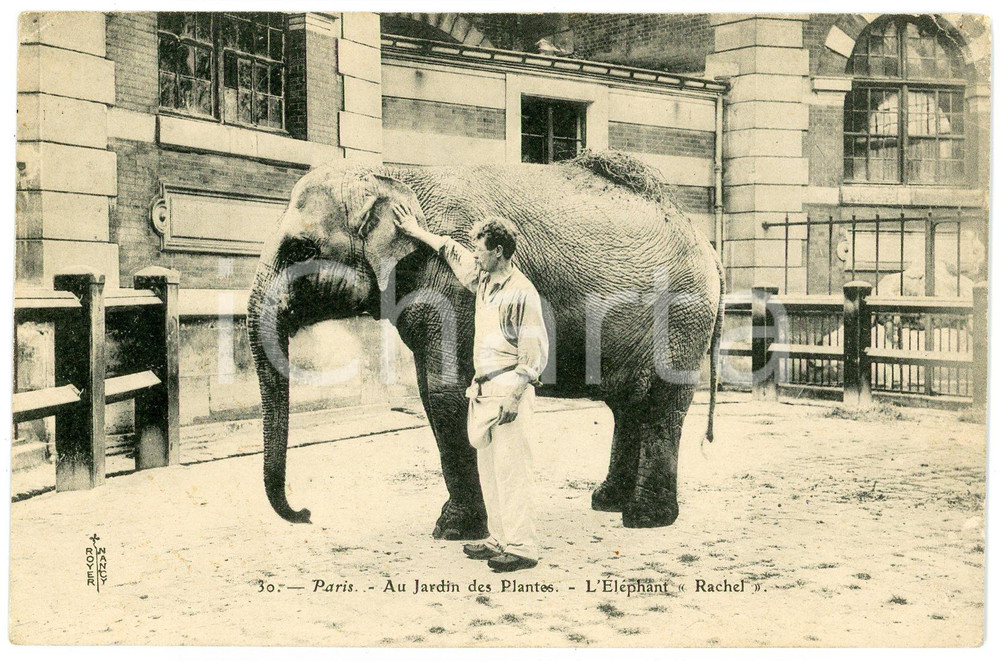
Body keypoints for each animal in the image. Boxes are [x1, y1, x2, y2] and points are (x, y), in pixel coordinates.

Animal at [246, 150, 725, 536]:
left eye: (300, 250)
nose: (307, 514)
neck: (396, 174)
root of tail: (707, 245)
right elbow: (430, 394)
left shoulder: (449, 290)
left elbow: (444, 396)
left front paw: (453, 530)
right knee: (628, 404)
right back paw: (607, 502)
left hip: (682, 315)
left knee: (661, 402)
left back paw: (645, 518)